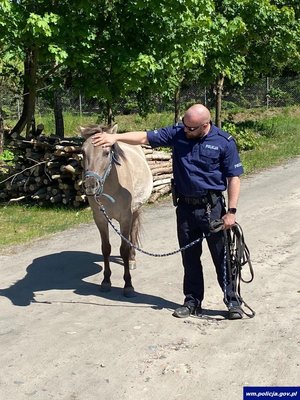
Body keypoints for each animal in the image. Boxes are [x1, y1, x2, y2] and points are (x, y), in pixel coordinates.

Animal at [81, 125, 154, 296]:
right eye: (83, 152)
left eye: (106, 152)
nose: (90, 185)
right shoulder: (100, 219)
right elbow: (106, 249)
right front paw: (106, 281)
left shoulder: (125, 218)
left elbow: (124, 249)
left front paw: (128, 285)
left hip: (136, 210)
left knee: (133, 233)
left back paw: (132, 260)